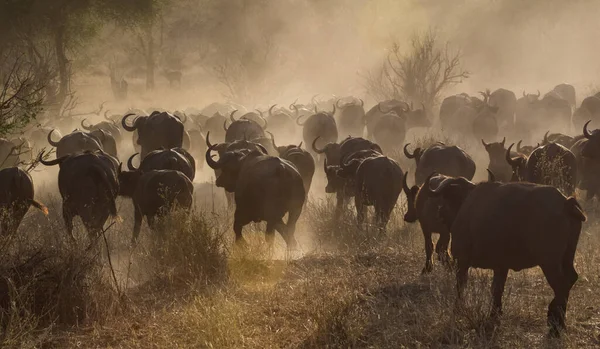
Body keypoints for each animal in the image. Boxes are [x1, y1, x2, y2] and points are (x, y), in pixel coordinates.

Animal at [428, 177, 588, 334]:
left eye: (446, 198)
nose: (439, 211)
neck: (465, 204)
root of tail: (565, 203)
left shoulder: (462, 262)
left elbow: (460, 287)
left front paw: (458, 311)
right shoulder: (501, 267)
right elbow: (497, 290)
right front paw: (494, 316)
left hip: (549, 263)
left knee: (561, 285)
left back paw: (555, 323)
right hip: (567, 258)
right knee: (571, 279)